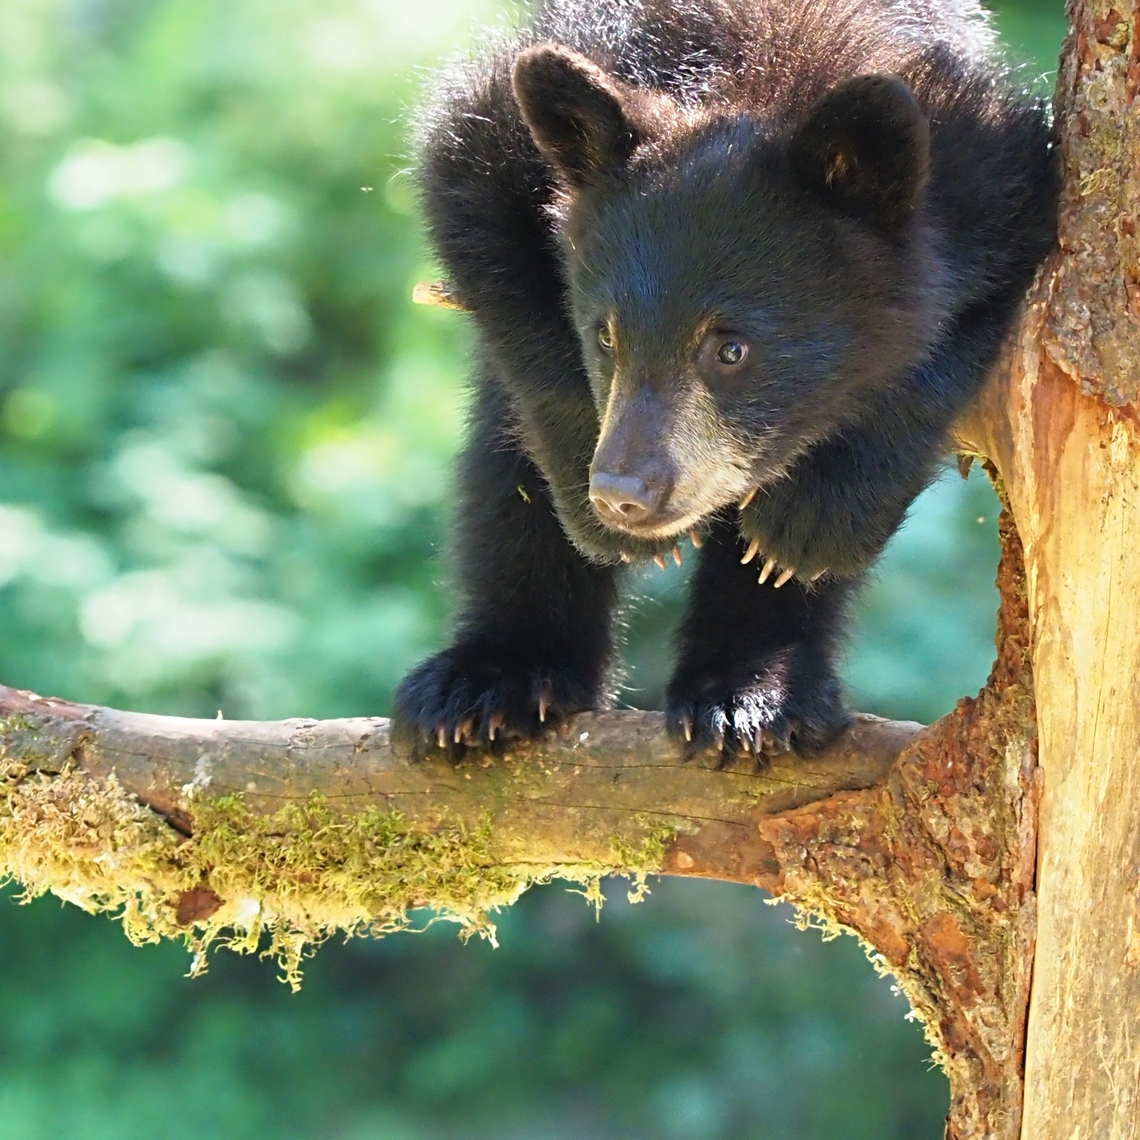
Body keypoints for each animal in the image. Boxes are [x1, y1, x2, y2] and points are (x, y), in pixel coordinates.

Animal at [392, 0, 1057, 762]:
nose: (623, 492)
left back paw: (749, 695)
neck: (754, 63)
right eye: (605, 335)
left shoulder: (988, 168)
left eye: (731, 349)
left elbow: (953, 328)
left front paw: (818, 514)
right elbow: (477, 217)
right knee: (503, 475)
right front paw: (592, 503)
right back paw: (488, 682)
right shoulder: (503, 129)